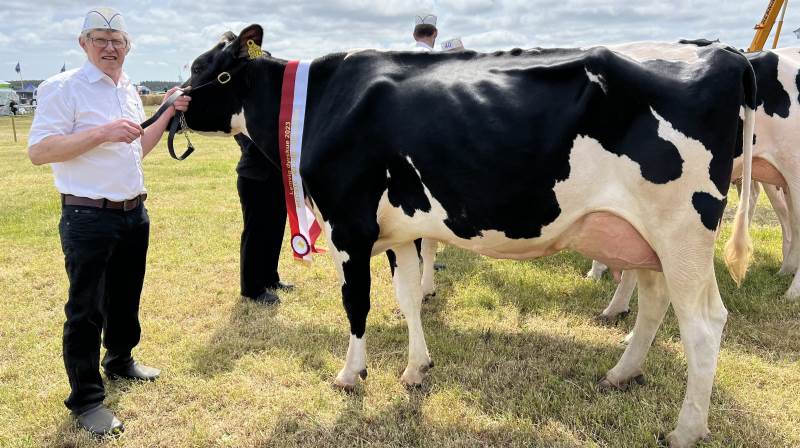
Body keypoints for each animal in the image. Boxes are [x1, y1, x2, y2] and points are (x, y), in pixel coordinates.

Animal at [177, 26, 756, 446]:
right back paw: (622, 373)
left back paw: (686, 430)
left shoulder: (349, 226)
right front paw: (416, 368)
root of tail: (725, 53)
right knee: (655, 303)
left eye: (208, 69)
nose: (174, 105)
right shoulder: (400, 230)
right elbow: (408, 297)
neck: (318, 102)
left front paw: (350, 374)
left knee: (703, 326)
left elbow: (357, 304)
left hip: (682, 231)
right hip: (644, 238)